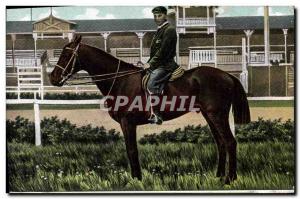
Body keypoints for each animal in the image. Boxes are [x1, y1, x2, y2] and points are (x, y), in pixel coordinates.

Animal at [50, 35, 250, 184]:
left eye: (66, 55)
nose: (53, 78)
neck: (119, 79)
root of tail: (228, 76)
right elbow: (130, 150)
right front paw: (135, 178)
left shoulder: (127, 123)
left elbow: (132, 150)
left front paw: (136, 180)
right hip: (210, 116)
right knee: (221, 143)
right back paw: (218, 176)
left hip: (217, 116)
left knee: (230, 142)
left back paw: (230, 179)